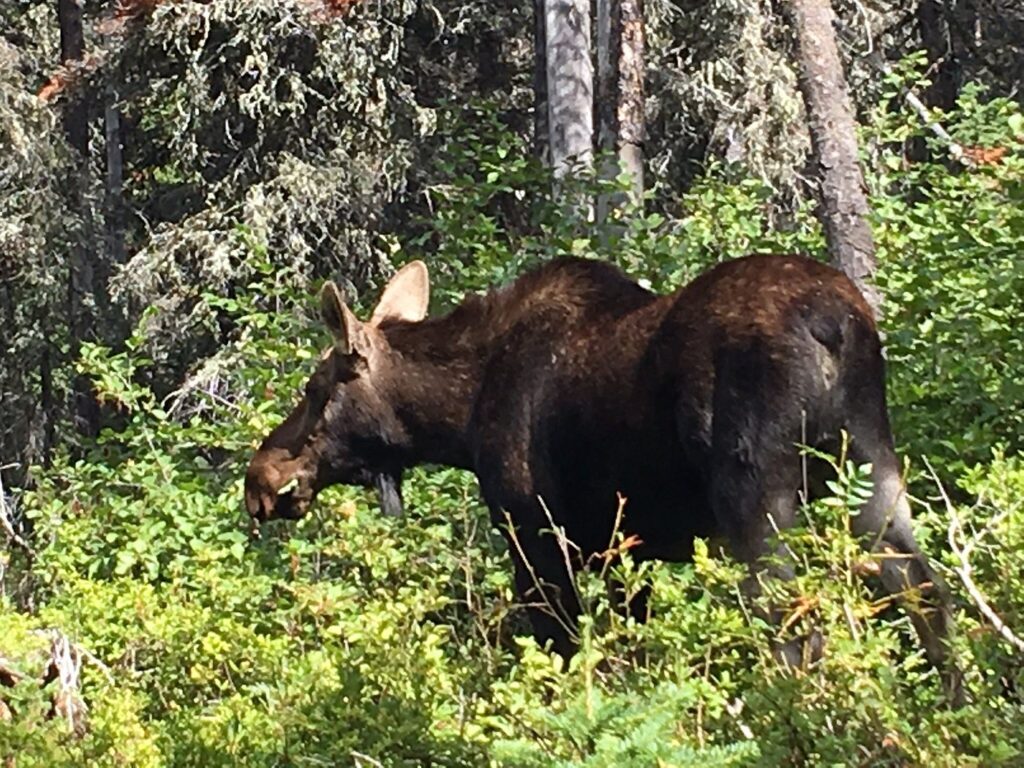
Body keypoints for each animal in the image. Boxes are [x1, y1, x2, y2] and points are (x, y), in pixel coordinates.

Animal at [247, 256, 958, 696]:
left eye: (314, 390)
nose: (261, 476)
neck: (459, 414)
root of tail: (835, 325)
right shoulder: (623, 549)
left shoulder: (535, 532)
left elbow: (558, 649)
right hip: (874, 465)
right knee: (925, 590)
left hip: (757, 492)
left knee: (792, 626)